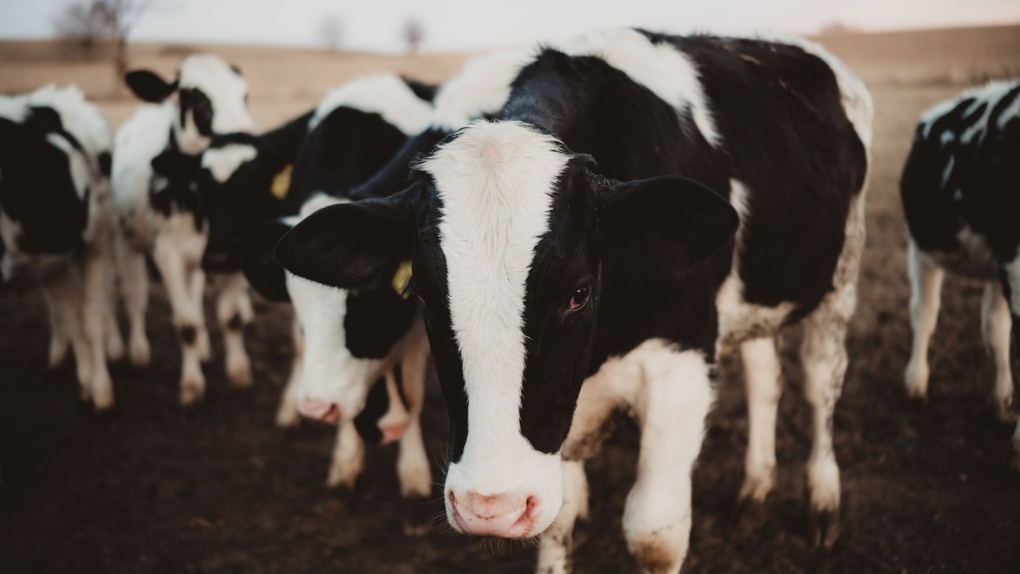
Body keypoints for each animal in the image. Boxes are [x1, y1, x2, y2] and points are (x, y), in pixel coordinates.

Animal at [111, 53, 257, 407]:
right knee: (134, 298)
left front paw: (239, 372)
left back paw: (203, 347)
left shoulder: (233, 251)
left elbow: (231, 318)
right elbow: (186, 323)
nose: (245, 136)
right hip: (124, 242)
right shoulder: (167, 254)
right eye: (195, 97)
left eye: (245, 95)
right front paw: (191, 385)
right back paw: (135, 350)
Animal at [276, 29, 872, 573]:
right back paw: (754, 492)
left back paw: (823, 506)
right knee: (764, 377)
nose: (491, 507)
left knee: (820, 382)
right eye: (421, 294)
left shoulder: (680, 362)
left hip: (840, 280)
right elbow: (560, 518)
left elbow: (655, 533)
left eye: (578, 293)